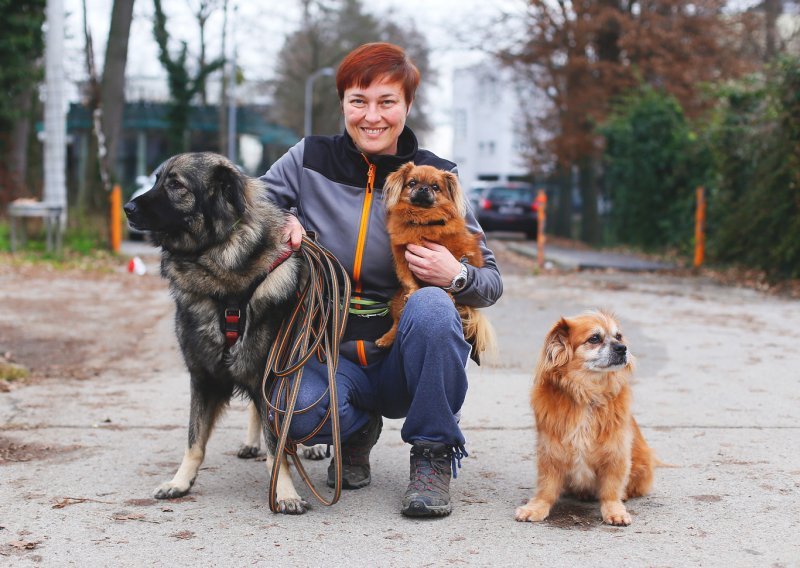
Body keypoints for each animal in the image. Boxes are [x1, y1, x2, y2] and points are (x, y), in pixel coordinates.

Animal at [516, 308, 660, 524]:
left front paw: (615, 510)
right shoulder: (550, 451)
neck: (587, 394)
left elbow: (611, 488)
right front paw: (536, 507)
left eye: (618, 336)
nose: (623, 348)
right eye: (594, 338)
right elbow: (546, 487)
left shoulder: (616, 452)